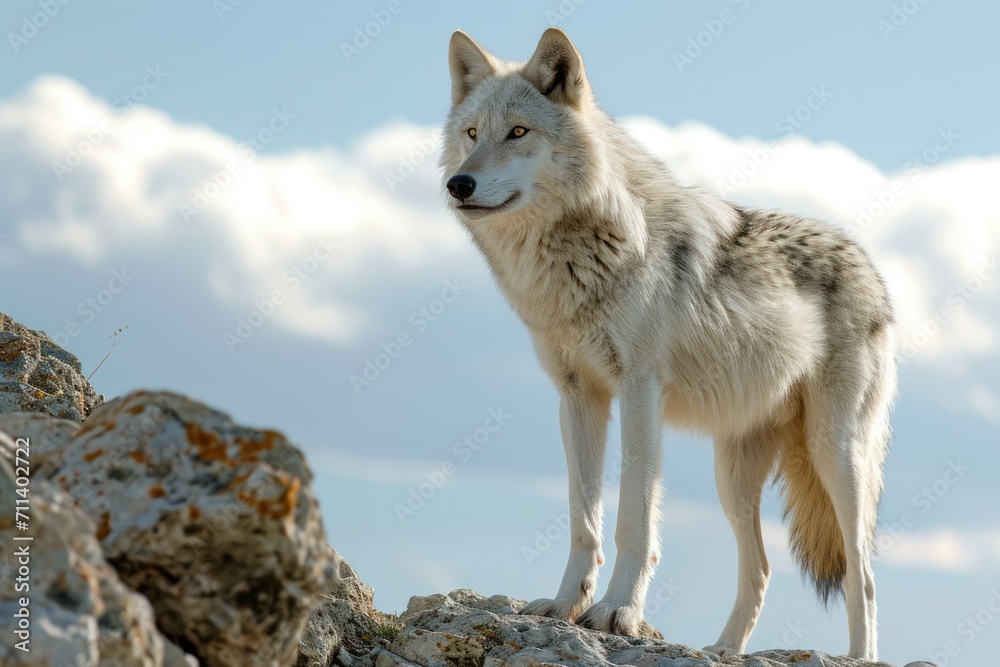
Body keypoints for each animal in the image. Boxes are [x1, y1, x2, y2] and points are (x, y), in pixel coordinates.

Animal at [442, 27, 896, 664]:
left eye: (519, 132)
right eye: (471, 134)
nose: (458, 184)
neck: (579, 256)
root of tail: (869, 264)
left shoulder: (639, 393)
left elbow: (632, 520)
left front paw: (618, 613)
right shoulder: (577, 398)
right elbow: (583, 520)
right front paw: (564, 607)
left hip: (836, 454)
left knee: (864, 573)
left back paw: (857, 655)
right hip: (731, 478)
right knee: (760, 571)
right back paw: (723, 649)